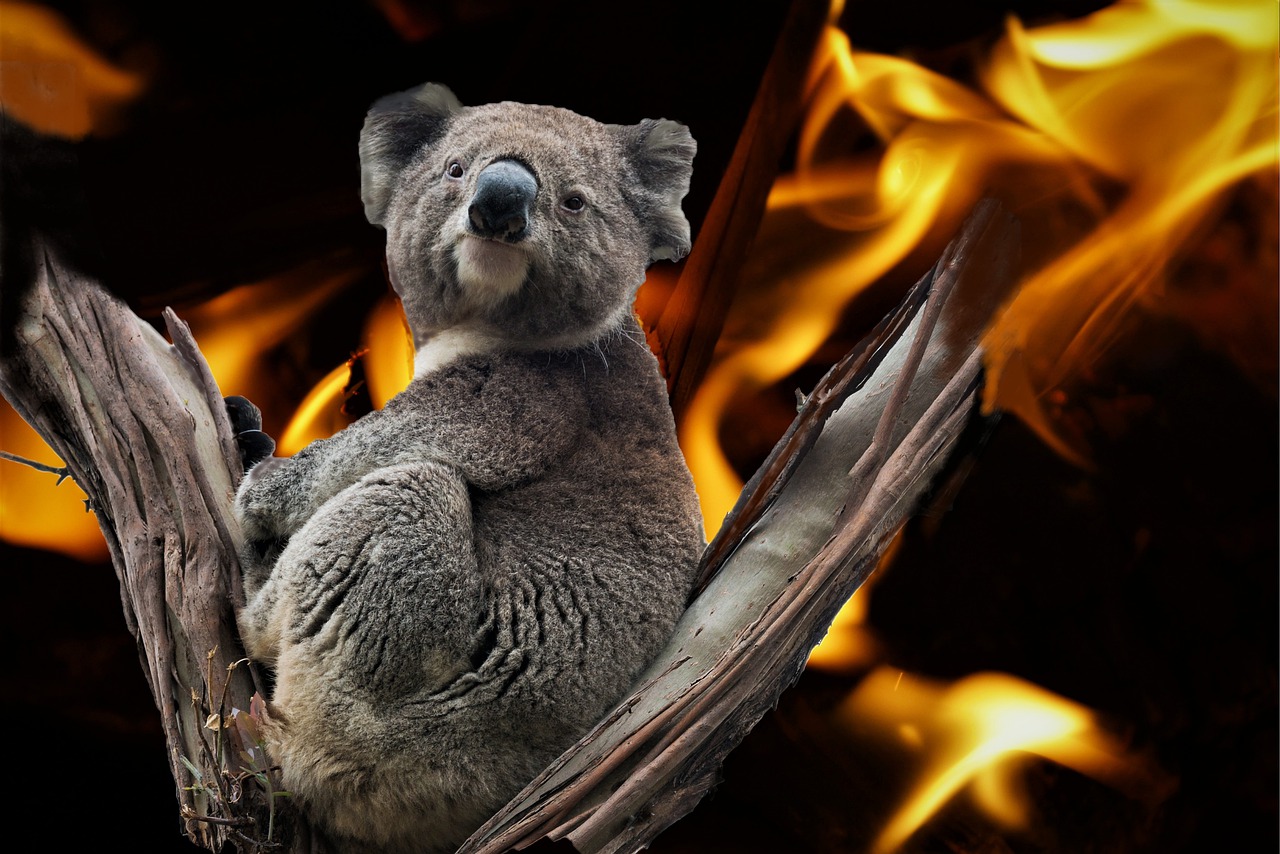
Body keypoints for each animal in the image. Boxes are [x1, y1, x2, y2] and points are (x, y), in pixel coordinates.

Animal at [231, 82, 705, 854]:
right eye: (455, 169)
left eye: (574, 201)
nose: (498, 207)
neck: (487, 324)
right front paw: (248, 426)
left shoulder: (528, 400)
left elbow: (404, 441)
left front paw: (264, 487)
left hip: (398, 685)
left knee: (408, 496)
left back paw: (252, 596)